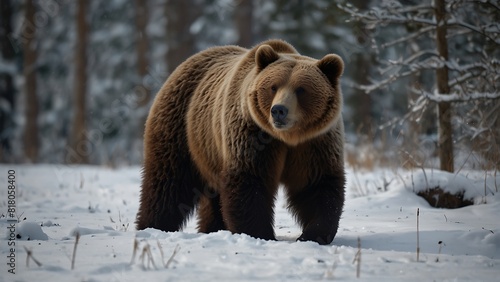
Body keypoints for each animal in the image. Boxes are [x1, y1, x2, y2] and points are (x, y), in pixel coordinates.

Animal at [137, 39, 348, 245]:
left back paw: (212, 228)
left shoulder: (314, 143)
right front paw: (259, 233)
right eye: (273, 87)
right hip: (181, 128)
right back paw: (152, 226)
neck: (285, 137)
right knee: (167, 183)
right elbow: (249, 181)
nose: (278, 110)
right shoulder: (251, 135)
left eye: (301, 89)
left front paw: (312, 234)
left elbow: (317, 184)